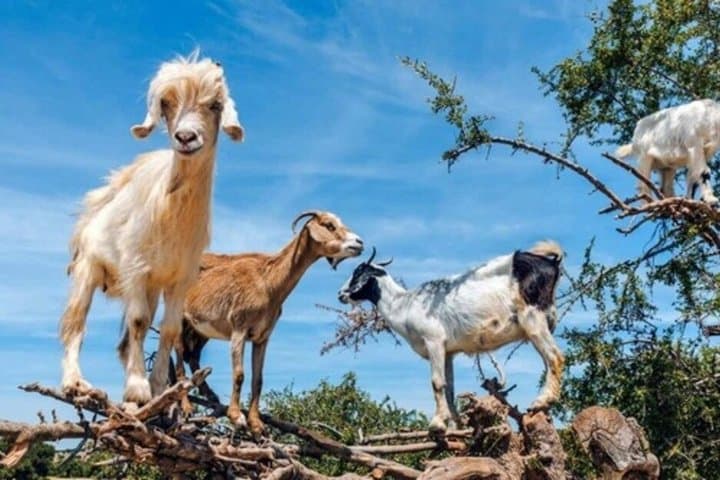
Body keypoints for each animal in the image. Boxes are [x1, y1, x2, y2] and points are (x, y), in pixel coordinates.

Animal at [60, 52, 244, 406]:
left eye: (215, 104)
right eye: (166, 103)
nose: (186, 138)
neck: (171, 212)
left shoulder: (179, 278)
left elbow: (169, 330)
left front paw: (159, 388)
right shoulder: (135, 268)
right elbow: (139, 321)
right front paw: (137, 388)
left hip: (152, 288)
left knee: (123, 341)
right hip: (88, 268)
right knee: (74, 324)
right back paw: (75, 383)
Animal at [174, 211, 363, 433]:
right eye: (329, 225)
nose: (359, 243)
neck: (268, 281)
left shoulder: (262, 337)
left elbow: (258, 379)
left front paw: (256, 424)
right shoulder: (239, 328)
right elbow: (239, 374)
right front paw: (237, 416)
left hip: (200, 330)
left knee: (192, 356)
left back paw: (210, 396)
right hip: (178, 318)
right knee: (179, 359)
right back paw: (187, 407)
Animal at [338, 242, 564, 433]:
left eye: (358, 272)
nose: (341, 294)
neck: (404, 304)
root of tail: (551, 262)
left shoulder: (433, 341)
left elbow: (437, 383)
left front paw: (437, 424)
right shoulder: (449, 351)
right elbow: (449, 388)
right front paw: (457, 425)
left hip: (533, 318)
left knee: (555, 357)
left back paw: (541, 402)